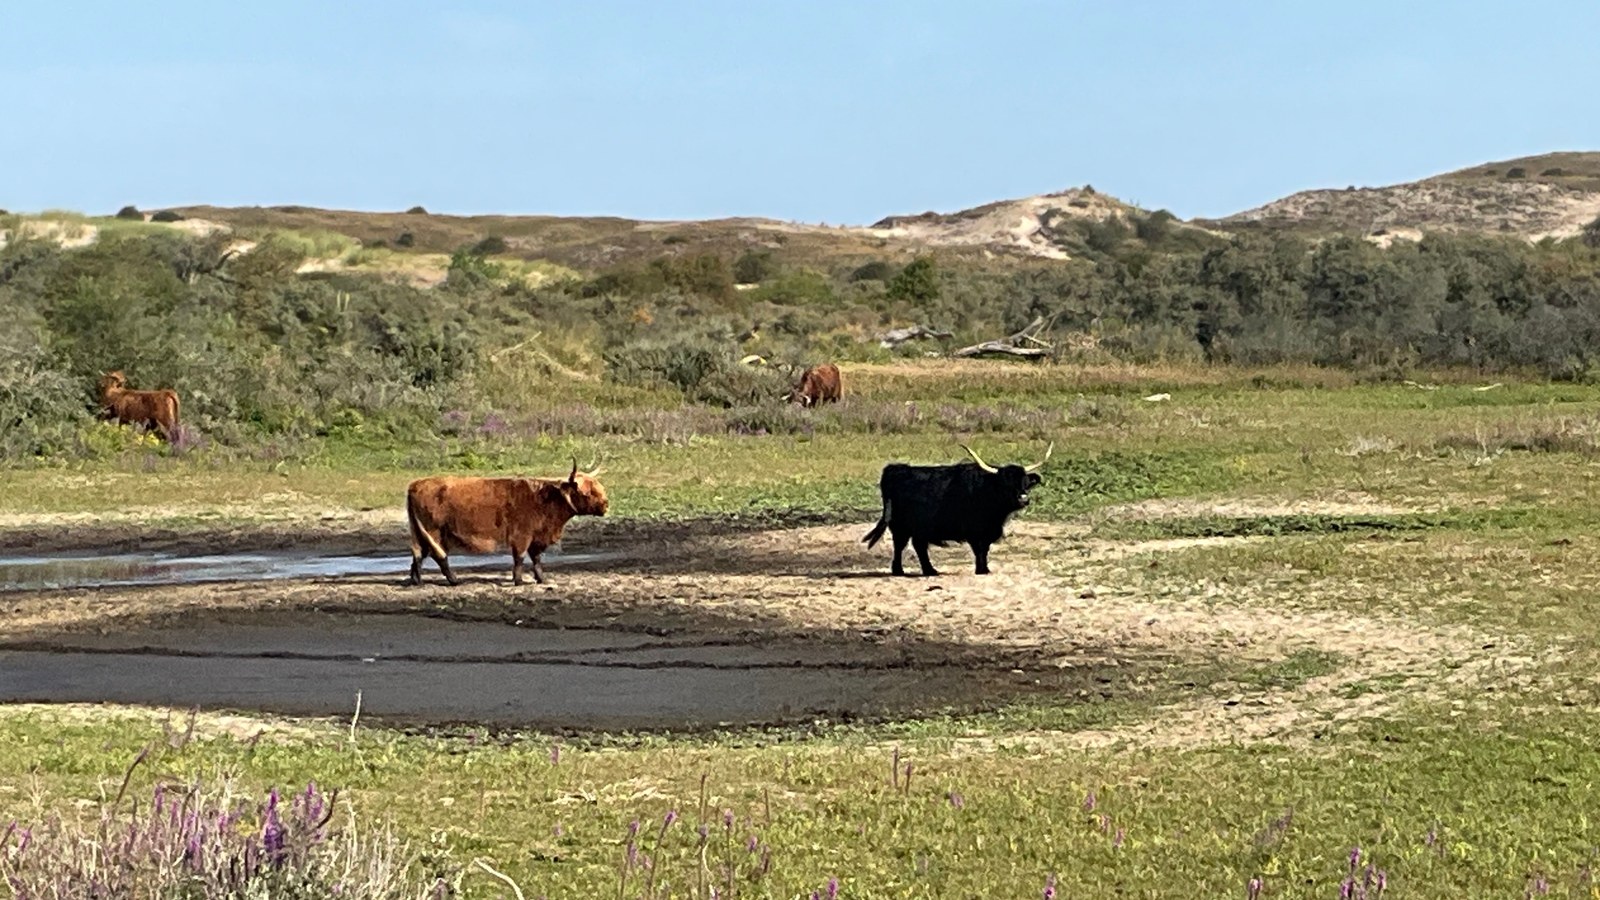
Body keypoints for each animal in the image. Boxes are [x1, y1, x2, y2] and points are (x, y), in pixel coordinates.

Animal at [406, 459, 608, 586]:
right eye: (587, 493)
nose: (606, 504)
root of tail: (415, 484)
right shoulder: (522, 535)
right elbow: (520, 557)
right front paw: (518, 581)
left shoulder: (537, 537)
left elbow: (536, 558)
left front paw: (541, 579)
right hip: (433, 531)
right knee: (437, 554)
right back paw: (453, 580)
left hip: (421, 531)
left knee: (418, 554)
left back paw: (416, 581)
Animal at [862, 443, 1052, 576]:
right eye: (1006, 483)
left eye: (1025, 483)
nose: (1023, 499)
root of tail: (894, 468)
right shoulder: (974, 531)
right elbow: (979, 550)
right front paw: (981, 570)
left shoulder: (988, 531)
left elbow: (985, 549)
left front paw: (985, 569)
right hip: (900, 525)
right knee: (900, 545)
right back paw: (899, 571)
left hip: (917, 528)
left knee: (918, 545)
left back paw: (929, 570)